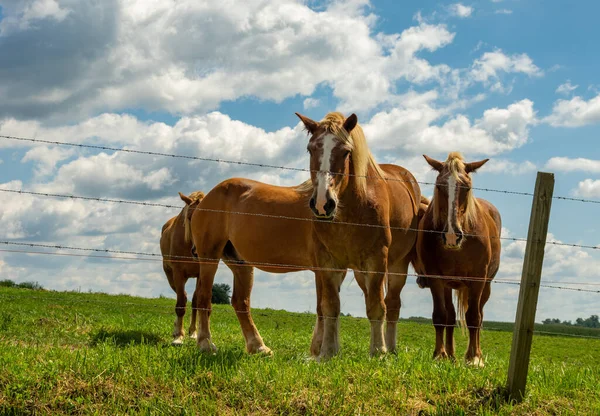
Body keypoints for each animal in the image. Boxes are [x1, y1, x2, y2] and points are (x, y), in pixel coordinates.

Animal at [159, 191, 204, 344]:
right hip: (171, 276)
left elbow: (196, 301)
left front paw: (194, 333)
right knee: (182, 296)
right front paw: (178, 336)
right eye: (190, 218)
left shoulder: (201, 274)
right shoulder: (178, 273)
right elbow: (180, 304)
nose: (198, 251)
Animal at [190, 112, 420, 360]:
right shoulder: (327, 263)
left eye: (346, 151)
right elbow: (329, 307)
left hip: (241, 263)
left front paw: (359, 350)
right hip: (209, 256)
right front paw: (326, 351)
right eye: (310, 149)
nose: (322, 204)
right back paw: (205, 344)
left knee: (240, 302)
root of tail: (208, 196)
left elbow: (356, 306)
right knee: (203, 297)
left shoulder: (368, 262)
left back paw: (258, 347)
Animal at [412, 151, 502, 366]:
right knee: (450, 316)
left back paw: (474, 354)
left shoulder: (477, 280)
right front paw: (440, 355)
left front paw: (474, 358)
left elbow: (474, 318)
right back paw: (451, 355)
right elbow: (441, 316)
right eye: (439, 186)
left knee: (479, 316)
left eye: (466, 187)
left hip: (485, 286)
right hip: (448, 285)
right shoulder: (436, 279)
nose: (452, 235)